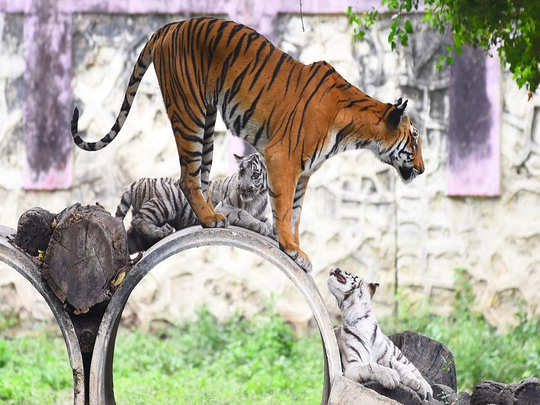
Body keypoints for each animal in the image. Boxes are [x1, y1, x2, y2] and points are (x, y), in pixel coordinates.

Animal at [69, 16, 424, 272]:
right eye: (415, 138)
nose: (422, 169)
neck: (353, 132)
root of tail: (170, 25)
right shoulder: (283, 159)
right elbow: (284, 209)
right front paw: (289, 247)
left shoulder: (304, 173)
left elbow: (296, 213)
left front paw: (297, 250)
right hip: (189, 114)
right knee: (186, 177)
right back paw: (211, 219)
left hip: (207, 123)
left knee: (200, 179)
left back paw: (208, 217)